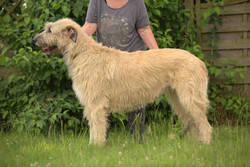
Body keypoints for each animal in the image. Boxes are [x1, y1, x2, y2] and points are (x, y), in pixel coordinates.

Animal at [33, 18, 212, 145]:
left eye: (49, 30)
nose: (34, 39)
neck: (82, 52)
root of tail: (199, 61)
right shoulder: (91, 104)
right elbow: (93, 126)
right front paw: (91, 145)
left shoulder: (97, 104)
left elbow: (97, 126)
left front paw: (95, 147)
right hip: (177, 98)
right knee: (193, 122)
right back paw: (194, 144)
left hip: (190, 96)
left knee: (205, 124)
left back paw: (205, 145)